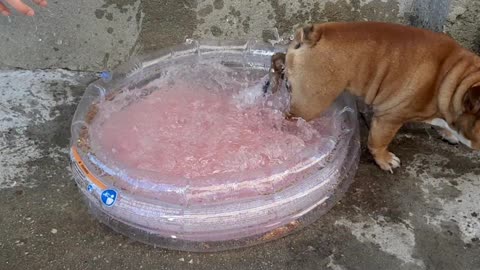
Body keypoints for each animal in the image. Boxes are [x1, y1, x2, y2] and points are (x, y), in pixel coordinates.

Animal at [270, 21, 480, 173]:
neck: (454, 80)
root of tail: (316, 34)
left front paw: (448, 133)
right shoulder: (390, 118)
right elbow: (379, 141)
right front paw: (385, 160)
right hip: (310, 103)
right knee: (290, 118)